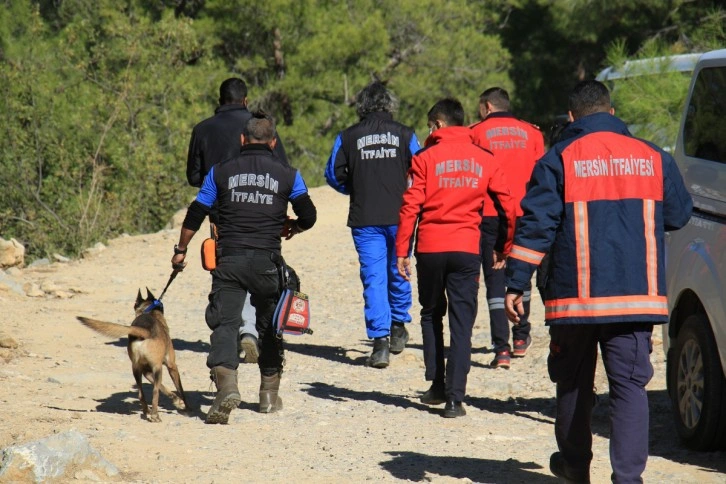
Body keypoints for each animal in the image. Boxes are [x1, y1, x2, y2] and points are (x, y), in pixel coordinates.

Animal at [77, 290, 188, 422]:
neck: (149, 311)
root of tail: (144, 331)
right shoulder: (172, 366)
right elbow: (180, 388)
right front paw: (186, 406)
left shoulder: (147, 372)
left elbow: (163, 388)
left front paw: (176, 400)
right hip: (158, 369)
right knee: (155, 392)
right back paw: (154, 415)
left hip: (136, 369)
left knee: (141, 394)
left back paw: (147, 411)